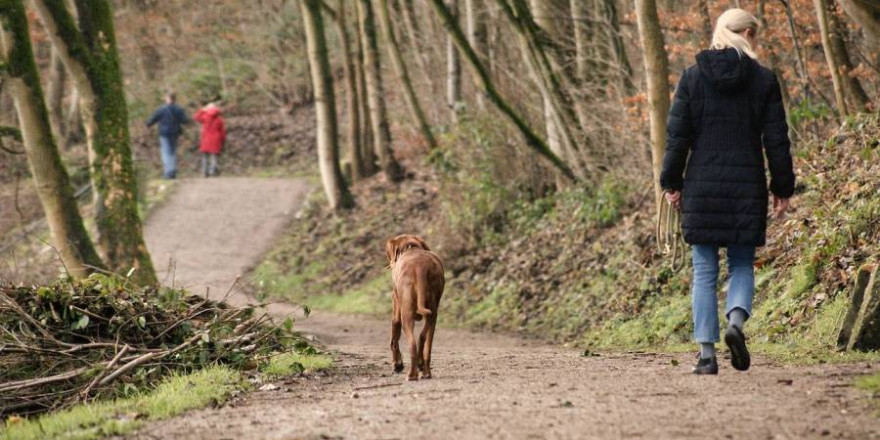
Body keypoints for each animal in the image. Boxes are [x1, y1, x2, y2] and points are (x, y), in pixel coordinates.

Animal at [384, 235, 444, 380]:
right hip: (432, 314)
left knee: (412, 345)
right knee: (424, 339)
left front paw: (397, 364)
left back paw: (411, 375)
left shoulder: (396, 310)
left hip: (406, 315)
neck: (411, 248)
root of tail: (420, 268)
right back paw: (425, 370)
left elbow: (394, 338)